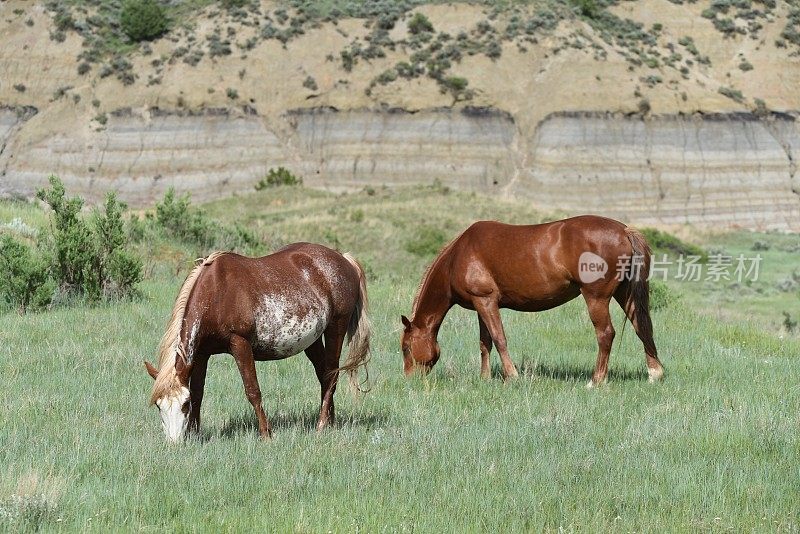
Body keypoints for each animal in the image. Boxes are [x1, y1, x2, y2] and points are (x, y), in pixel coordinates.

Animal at [145, 244, 370, 444]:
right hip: (312, 340)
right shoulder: (201, 354)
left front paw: (266, 435)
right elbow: (198, 393)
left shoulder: (240, 345)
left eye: (184, 405)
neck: (216, 293)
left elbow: (253, 391)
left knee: (331, 376)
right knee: (324, 375)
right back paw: (330, 422)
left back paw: (322, 425)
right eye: (159, 406)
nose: (174, 443)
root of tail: (344, 259)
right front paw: (195, 433)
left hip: (336, 328)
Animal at [400, 217, 664, 390]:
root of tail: (624, 230)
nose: (410, 379)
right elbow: (485, 343)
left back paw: (596, 380)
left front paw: (512, 376)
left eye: (405, 348)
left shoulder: (486, 301)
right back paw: (655, 373)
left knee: (606, 334)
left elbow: (499, 339)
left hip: (596, 298)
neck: (458, 257)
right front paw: (485, 378)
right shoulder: (481, 304)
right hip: (625, 293)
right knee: (642, 328)